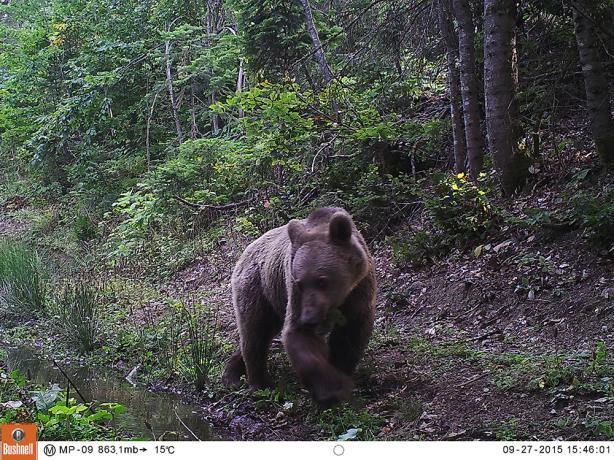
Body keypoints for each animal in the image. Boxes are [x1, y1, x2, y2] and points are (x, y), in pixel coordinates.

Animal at [221, 207, 376, 404]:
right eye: (301, 283)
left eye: (322, 280)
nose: (308, 317)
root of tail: (246, 251)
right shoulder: (294, 292)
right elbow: (298, 334)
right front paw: (331, 389)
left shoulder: (359, 288)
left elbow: (351, 331)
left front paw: (341, 369)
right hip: (259, 287)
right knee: (255, 332)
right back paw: (258, 382)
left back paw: (233, 372)